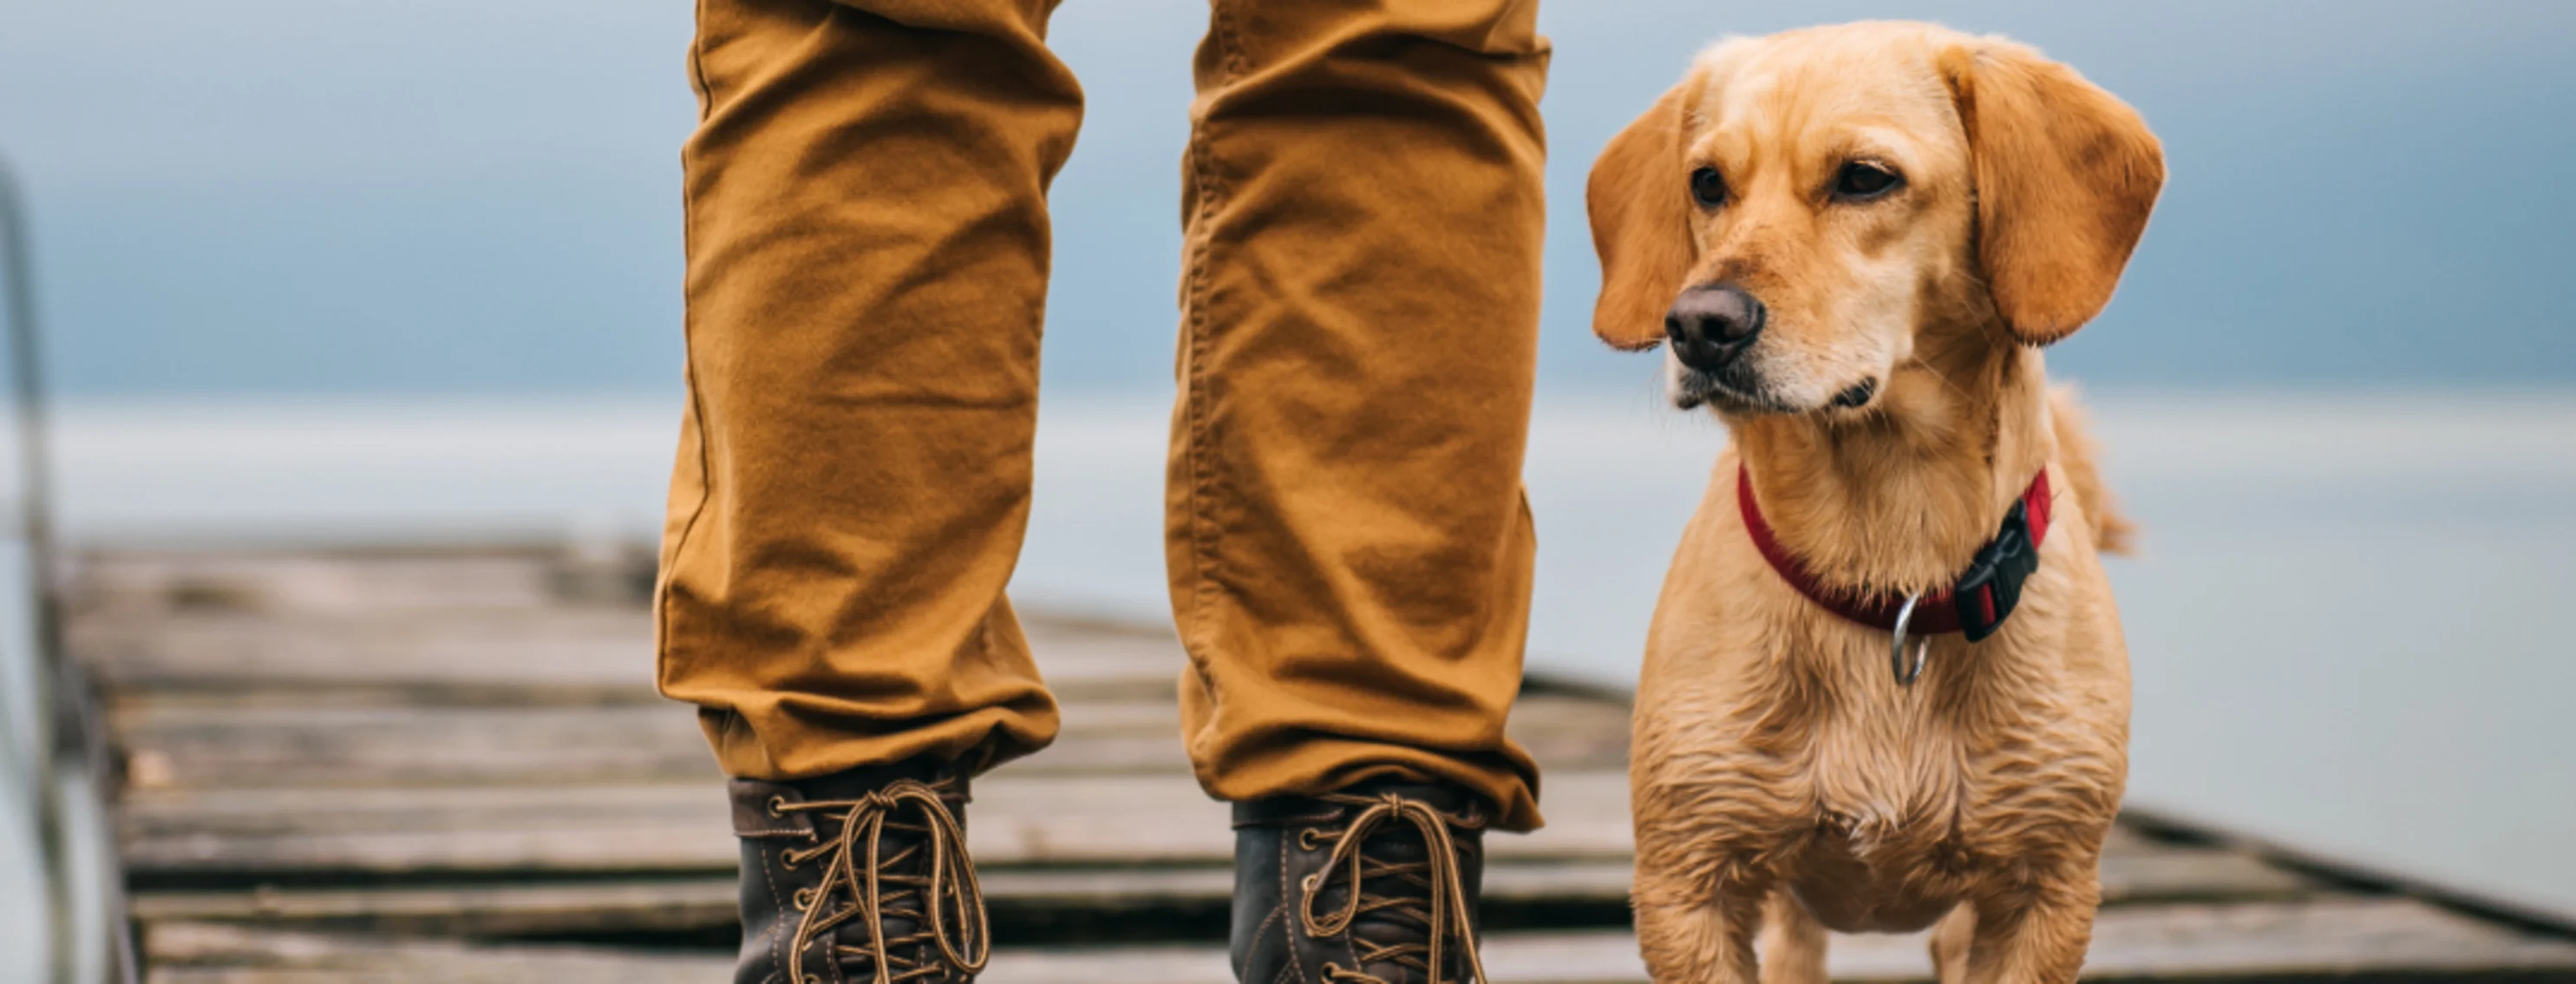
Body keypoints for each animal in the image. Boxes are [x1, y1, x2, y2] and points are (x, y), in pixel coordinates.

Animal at [1586, 21, 2153, 984]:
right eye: (1708, 183)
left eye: (1864, 177)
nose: (1696, 324)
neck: (1888, 565)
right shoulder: (1689, 886)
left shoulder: (2044, 895)